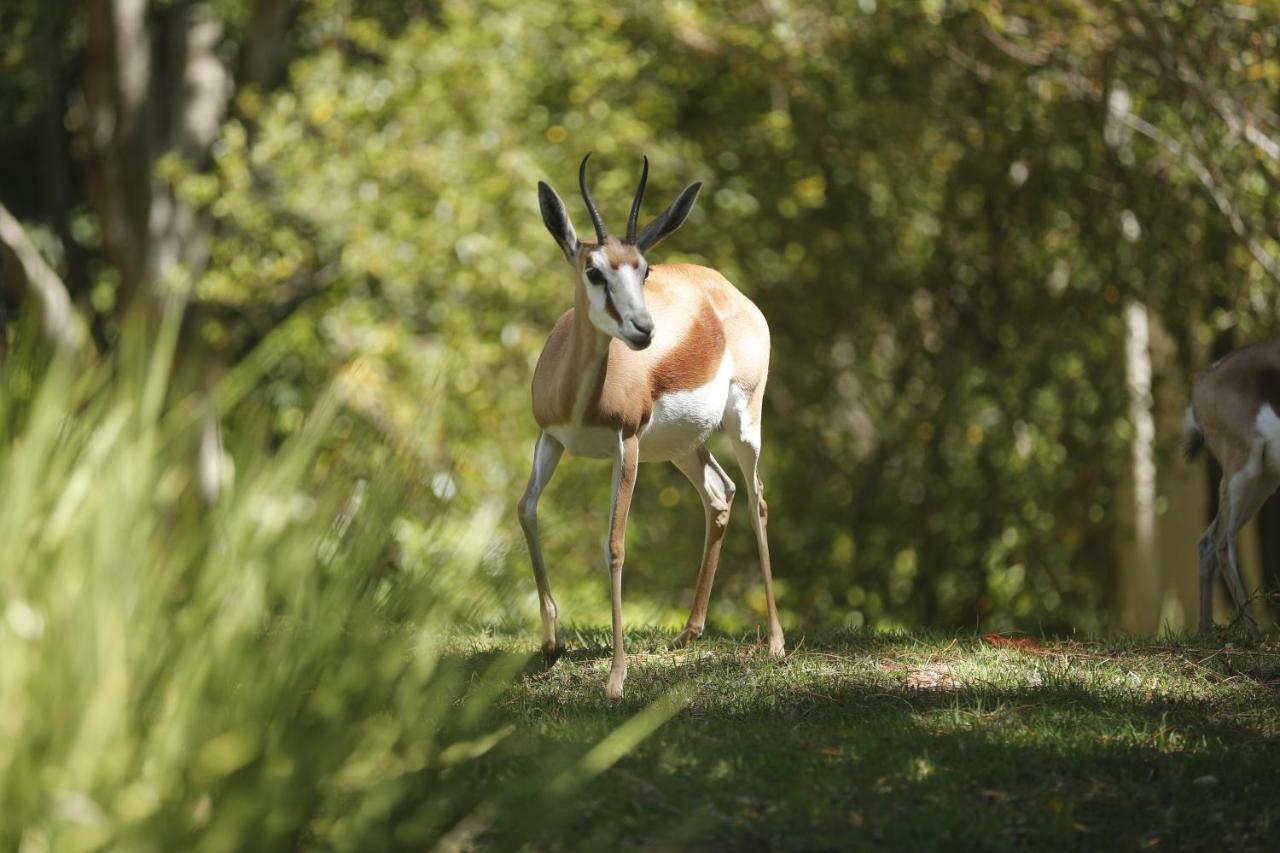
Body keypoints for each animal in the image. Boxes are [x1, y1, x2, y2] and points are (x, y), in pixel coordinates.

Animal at [517, 153, 778, 696]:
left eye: (644, 269)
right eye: (593, 270)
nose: (644, 329)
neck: (581, 397)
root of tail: (724, 287)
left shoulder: (628, 443)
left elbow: (615, 547)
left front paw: (616, 679)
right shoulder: (550, 438)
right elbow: (526, 509)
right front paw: (551, 642)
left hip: (744, 420)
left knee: (757, 498)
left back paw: (776, 644)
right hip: (681, 446)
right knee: (720, 493)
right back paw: (689, 633)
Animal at [1177, 338, 1280, 630]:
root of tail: (1204, 377)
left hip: (1263, 482)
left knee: (1206, 542)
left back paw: (1205, 633)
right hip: (1242, 472)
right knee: (1220, 541)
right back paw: (1254, 634)